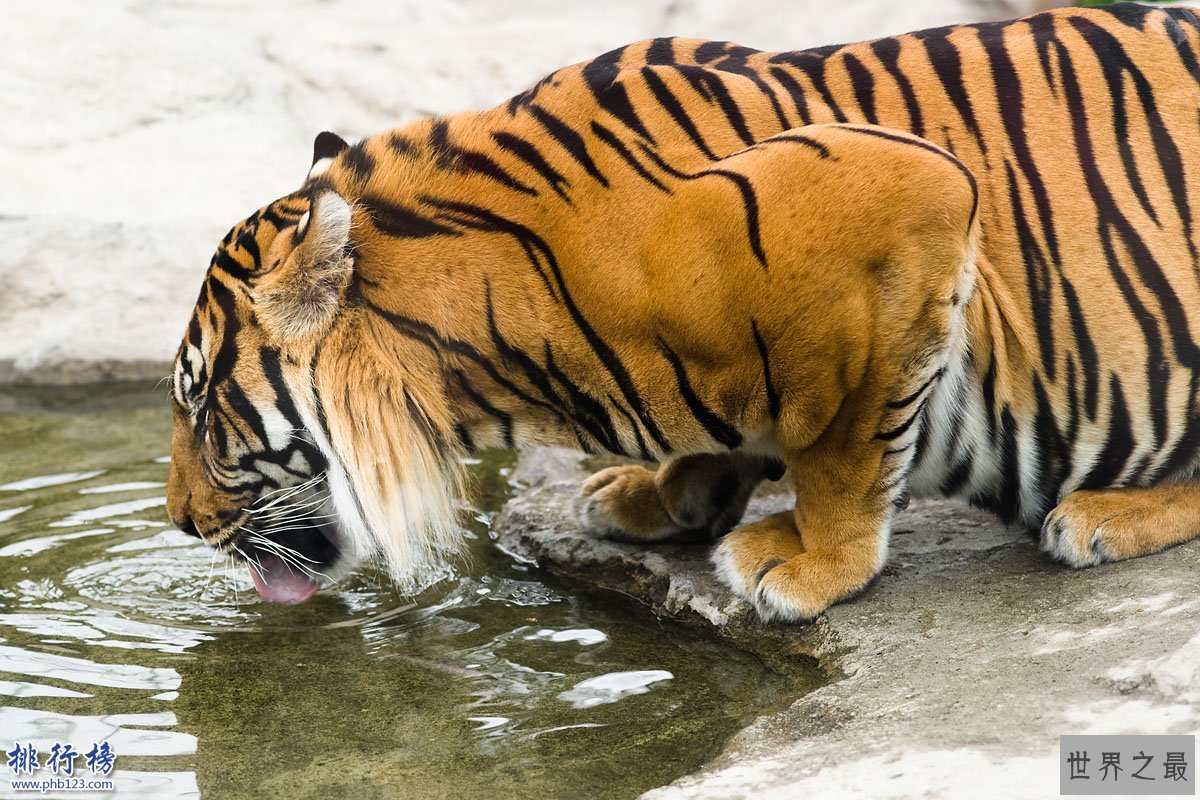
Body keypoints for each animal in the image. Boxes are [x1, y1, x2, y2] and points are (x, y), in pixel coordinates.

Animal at [166, 0, 1200, 623]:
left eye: (200, 405)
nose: (175, 522)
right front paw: (658, 491)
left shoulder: (911, 194)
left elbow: (846, 447)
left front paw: (811, 564)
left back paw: (1099, 516)